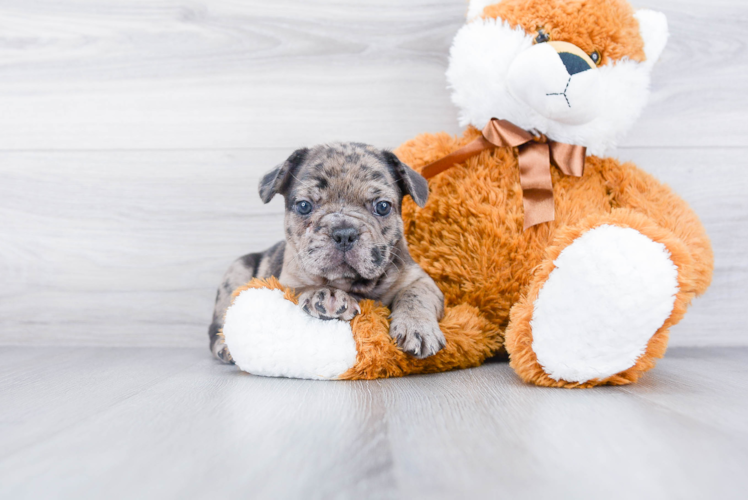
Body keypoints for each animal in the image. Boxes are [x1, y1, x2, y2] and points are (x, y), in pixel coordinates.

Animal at [207, 143, 448, 366]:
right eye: (304, 206)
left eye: (382, 207)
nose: (344, 233)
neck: (353, 284)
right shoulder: (289, 282)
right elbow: (307, 287)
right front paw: (326, 295)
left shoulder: (420, 279)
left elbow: (415, 295)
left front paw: (417, 327)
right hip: (236, 270)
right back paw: (225, 347)